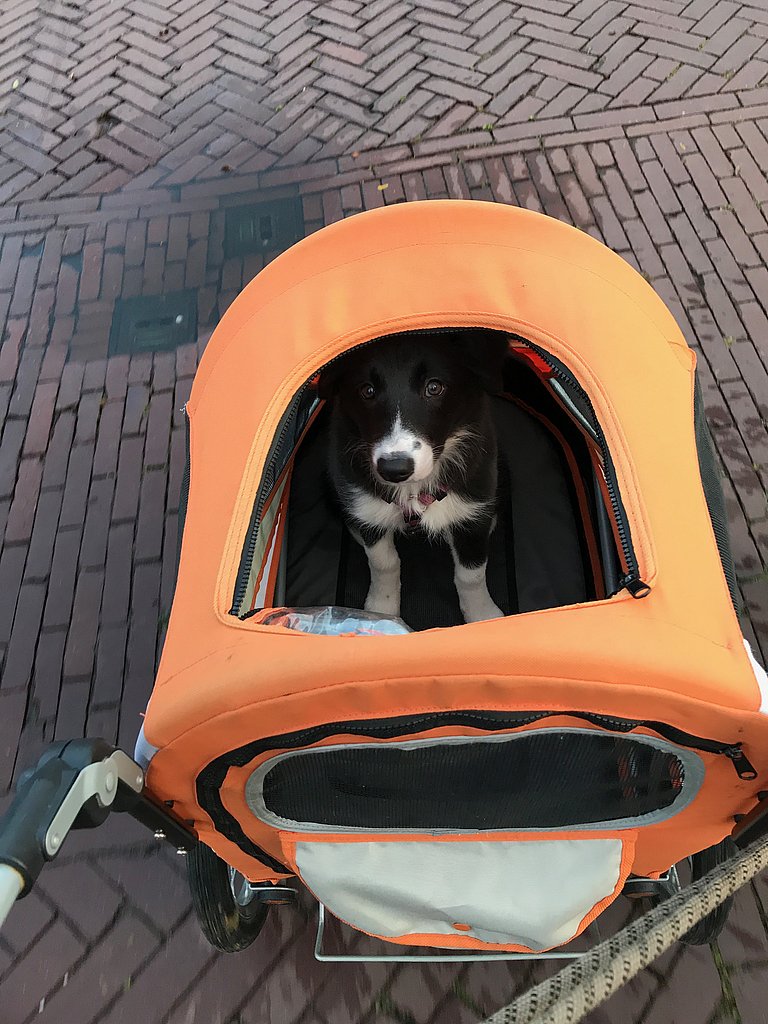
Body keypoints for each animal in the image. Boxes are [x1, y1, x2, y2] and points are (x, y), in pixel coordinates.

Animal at [318, 329, 509, 624]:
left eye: (434, 387)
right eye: (367, 390)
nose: (394, 469)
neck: (414, 489)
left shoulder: (473, 508)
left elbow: (471, 573)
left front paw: (482, 616)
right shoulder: (367, 506)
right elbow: (383, 562)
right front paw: (380, 610)